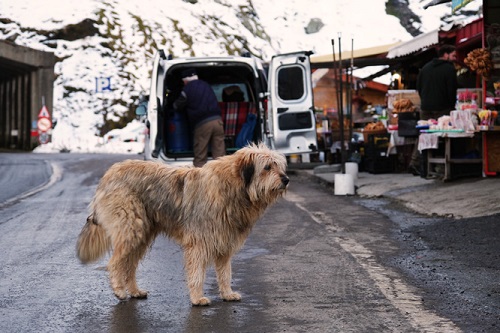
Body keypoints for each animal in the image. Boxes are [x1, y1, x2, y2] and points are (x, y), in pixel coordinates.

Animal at [75, 143, 288, 304]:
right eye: (267, 167)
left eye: (279, 166)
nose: (286, 179)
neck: (233, 188)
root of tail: (108, 174)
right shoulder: (199, 243)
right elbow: (197, 272)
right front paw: (197, 298)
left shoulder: (224, 243)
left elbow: (225, 272)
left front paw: (227, 294)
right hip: (129, 229)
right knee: (115, 263)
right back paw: (119, 290)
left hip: (142, 234)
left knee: (130, 265)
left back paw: (135, 291)